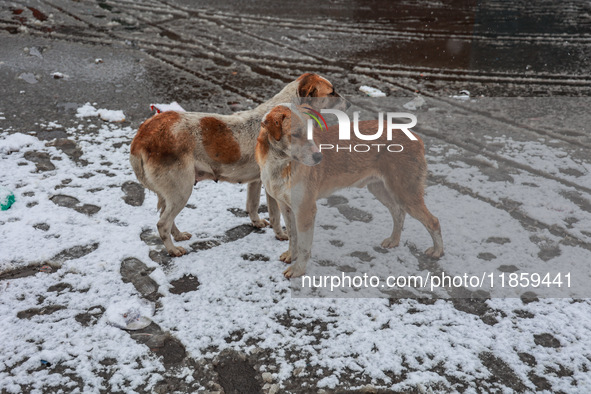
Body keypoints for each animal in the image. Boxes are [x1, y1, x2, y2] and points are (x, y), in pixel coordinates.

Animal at [130, 73, 342, 258]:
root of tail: (143, 134)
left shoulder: (256, 180)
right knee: (162, 224)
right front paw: (281, 235)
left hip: (172, 193)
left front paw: (257, 222)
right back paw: (173, 250)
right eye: (332, 92)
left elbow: (252, 204)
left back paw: (179, 236)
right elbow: (275, 214)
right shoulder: (271, 187)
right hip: (182, 190)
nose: (346, 101)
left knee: (166, 217)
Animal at [254, 104, 444, 278]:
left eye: (311, 133)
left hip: (405, 193)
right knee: (398, 213)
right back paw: (394, 241)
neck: (280, 163)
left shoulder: (305, 210)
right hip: (380, 189)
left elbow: (303, 245)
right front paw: (291, 255)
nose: (319, 157)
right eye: (295, 134)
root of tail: (415, 136)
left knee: (433, 221)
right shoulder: (285, 206)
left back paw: (437, 251)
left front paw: (298, 270)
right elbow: (293, 236)